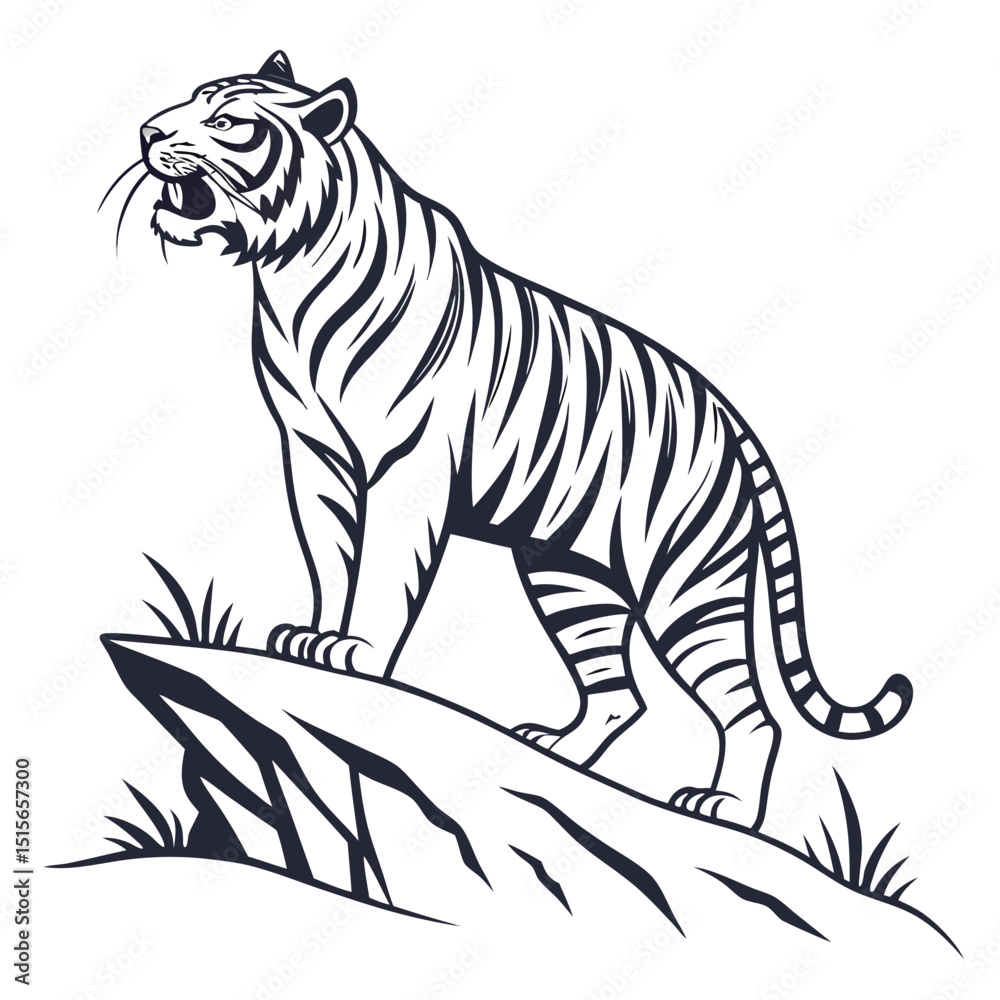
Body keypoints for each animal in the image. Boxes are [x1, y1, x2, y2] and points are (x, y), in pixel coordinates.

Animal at [123, 50, 913, 829]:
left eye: (229, 122)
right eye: (191, 99)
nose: (146, 132)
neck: (292, 277)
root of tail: (728, 415)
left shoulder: (409, 467)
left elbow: (380, 572)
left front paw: (357, 652)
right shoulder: (316, 457)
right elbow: (329, 557)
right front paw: (309, 640)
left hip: (687, 584)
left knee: (749, 712)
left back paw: (725, 808)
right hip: (569, 576)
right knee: (620, 694)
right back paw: (557, 749)